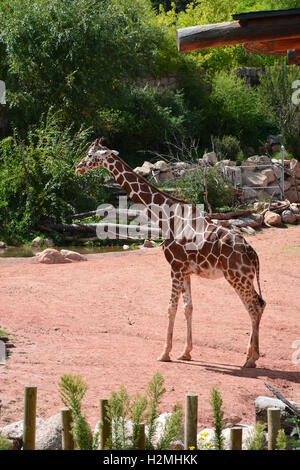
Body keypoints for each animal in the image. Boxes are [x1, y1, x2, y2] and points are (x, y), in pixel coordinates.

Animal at [76, 139, 266, 368]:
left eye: (89, 154)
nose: (77, 167)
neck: (165, 216)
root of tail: (253, 254)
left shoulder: (175, 266)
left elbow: (171, 308)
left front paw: (164, 353)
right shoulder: (185, 270)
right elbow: (188, 307)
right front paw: (186, 352)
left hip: (237, 276)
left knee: (254, 306)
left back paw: (250, 359)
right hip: (243, 277)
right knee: (258, 304)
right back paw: (250, 356)